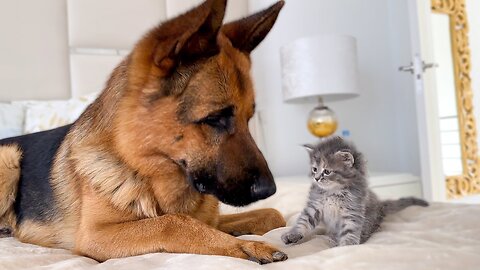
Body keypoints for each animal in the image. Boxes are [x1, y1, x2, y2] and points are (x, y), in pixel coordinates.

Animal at [0, 0, 286, 264]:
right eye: (215, 119)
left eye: (249, 118)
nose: (269, 190)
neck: (144, 168)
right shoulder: (96, 235)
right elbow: (174, 222)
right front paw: (248, 246)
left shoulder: (215, 219)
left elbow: (273, 214)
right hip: (10, 156)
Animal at [282, 137, 428, 247]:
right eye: (314, 169)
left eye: (327, 171)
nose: (316, 178)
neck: (333, 192)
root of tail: (380, 205)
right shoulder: (315, 206)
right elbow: (303, 221)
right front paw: (292, 235)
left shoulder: (353, 210)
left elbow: (350, 229)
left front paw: (346, 245)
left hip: (369, 219)